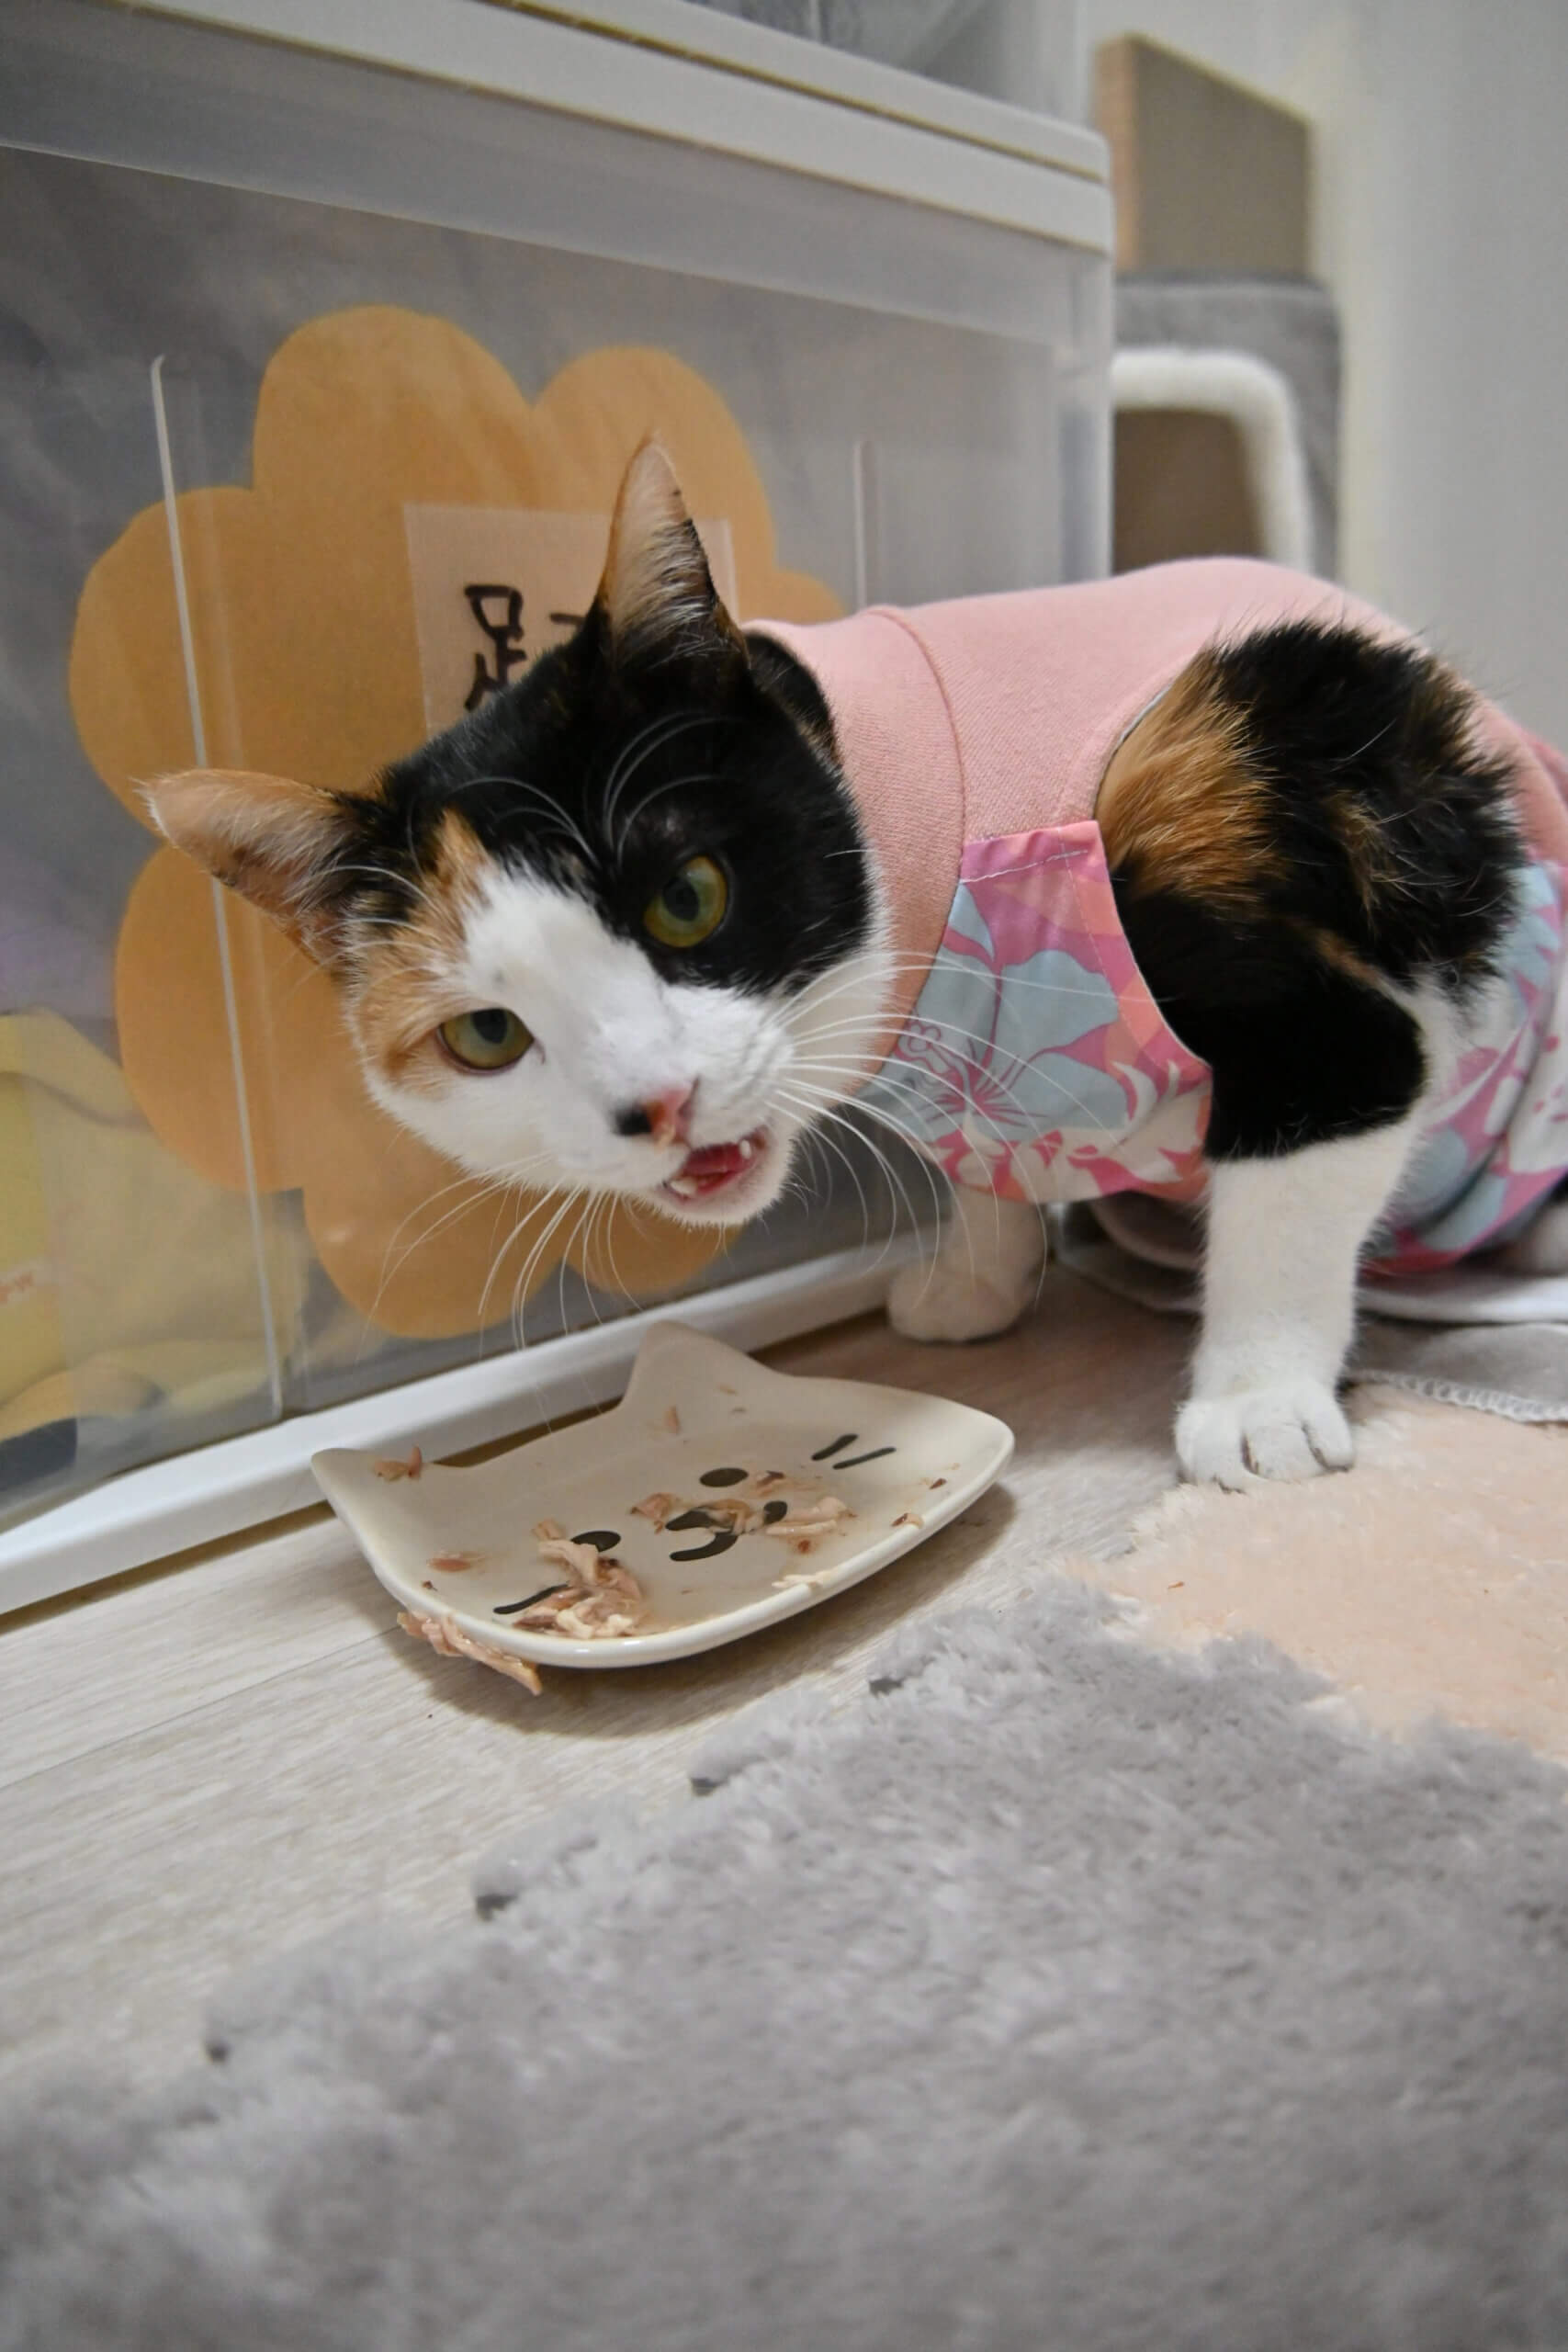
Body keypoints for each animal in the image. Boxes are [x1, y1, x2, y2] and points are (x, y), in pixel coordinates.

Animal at [149, 442, 1568, 1489]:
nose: (657, 1106)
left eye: (688, 897)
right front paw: (982, 1281)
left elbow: (1301, 1160)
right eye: (485, 1035)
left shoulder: (1305, 977)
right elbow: (989, 1167)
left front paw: (1258, 1399)